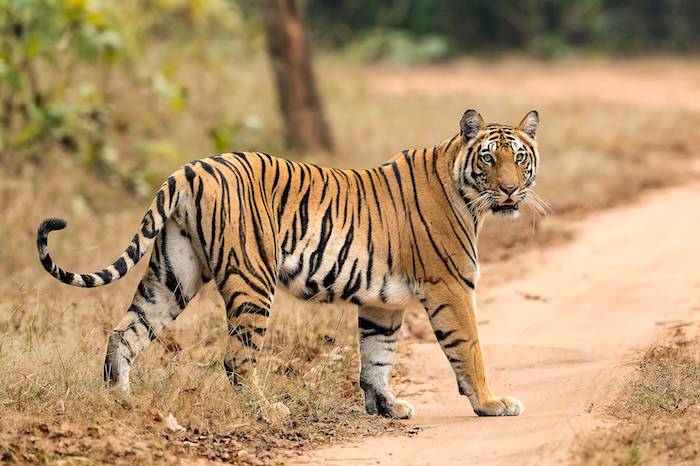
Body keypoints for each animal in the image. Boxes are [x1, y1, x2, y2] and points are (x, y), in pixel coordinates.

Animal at [37, 109, 540, 418]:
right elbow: (469, 348)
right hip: (251, 281)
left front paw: (386, 408)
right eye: (488, 159)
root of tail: (191, 168)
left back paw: (121, 405)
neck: (468, 195)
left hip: (172, 274)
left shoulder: (383, 302)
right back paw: (267, 412)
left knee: (125, 333)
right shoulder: (450, 286)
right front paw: (491, 403)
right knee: (237, 359)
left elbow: (377, 356)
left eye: (520, 158)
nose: (511, 190)